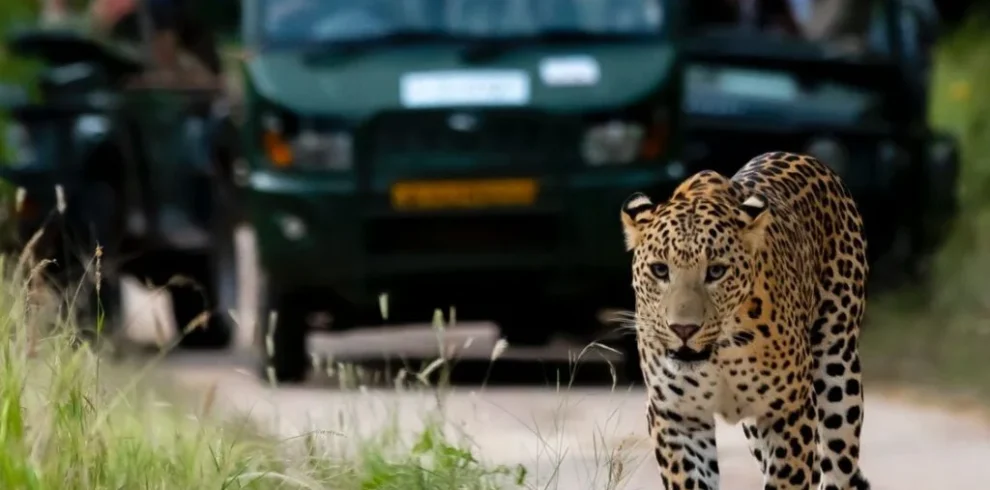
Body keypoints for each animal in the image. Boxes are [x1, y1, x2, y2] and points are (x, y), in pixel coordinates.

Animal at [619, 151, 871, 490]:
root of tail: (798, 155)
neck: (720, 354)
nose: (684, 329)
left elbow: (788, 478)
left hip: (838, 372)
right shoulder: (677, 417)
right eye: (660, 270)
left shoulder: (787, 412)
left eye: (716, 271)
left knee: (837, 464)